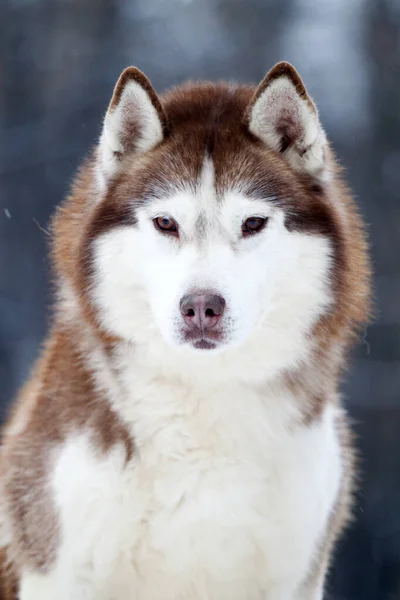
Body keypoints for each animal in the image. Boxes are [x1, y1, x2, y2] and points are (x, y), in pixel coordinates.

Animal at [0, 62, 368, 600]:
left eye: (253, 223)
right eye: (165, 222)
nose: (200, 307)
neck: (204, 390)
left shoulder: (292, 576)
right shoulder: (59, 570)